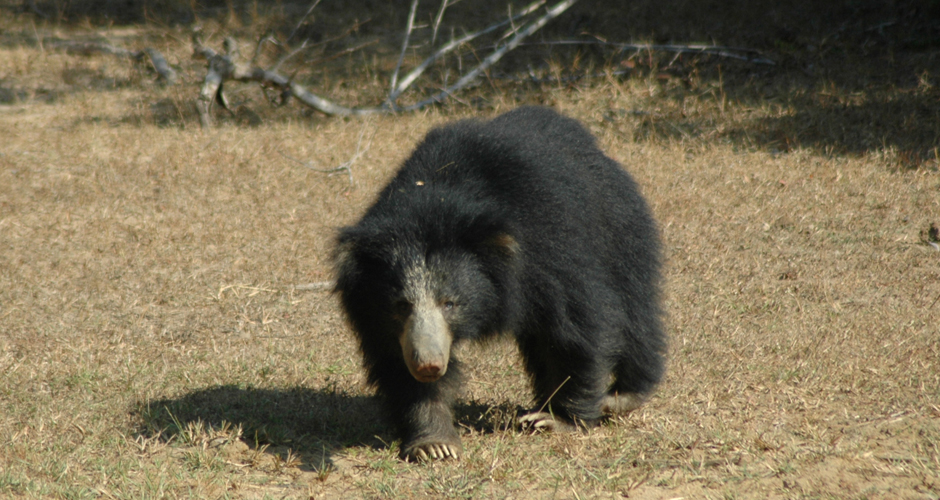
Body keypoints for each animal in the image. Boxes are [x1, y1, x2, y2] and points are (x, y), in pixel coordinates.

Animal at [334, 107, 664, 462]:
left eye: (450, 303)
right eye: (400, 306)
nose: (429, 365)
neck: (437, 200)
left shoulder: (551, 248)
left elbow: (577, 326)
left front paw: (558, 420)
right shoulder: (375, 315)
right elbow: (394, 360)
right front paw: (434, 444)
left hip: (621, 227)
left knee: (635, 306)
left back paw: (621, 396)